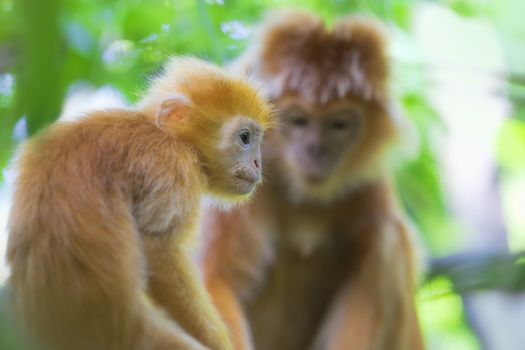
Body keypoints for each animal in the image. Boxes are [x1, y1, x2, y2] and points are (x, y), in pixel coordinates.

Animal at [199, 8, 424, 350]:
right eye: (299, 121)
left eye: (339, 124)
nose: (317, 150)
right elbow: (217, 278)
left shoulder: (368, 182)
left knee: (385, 242)